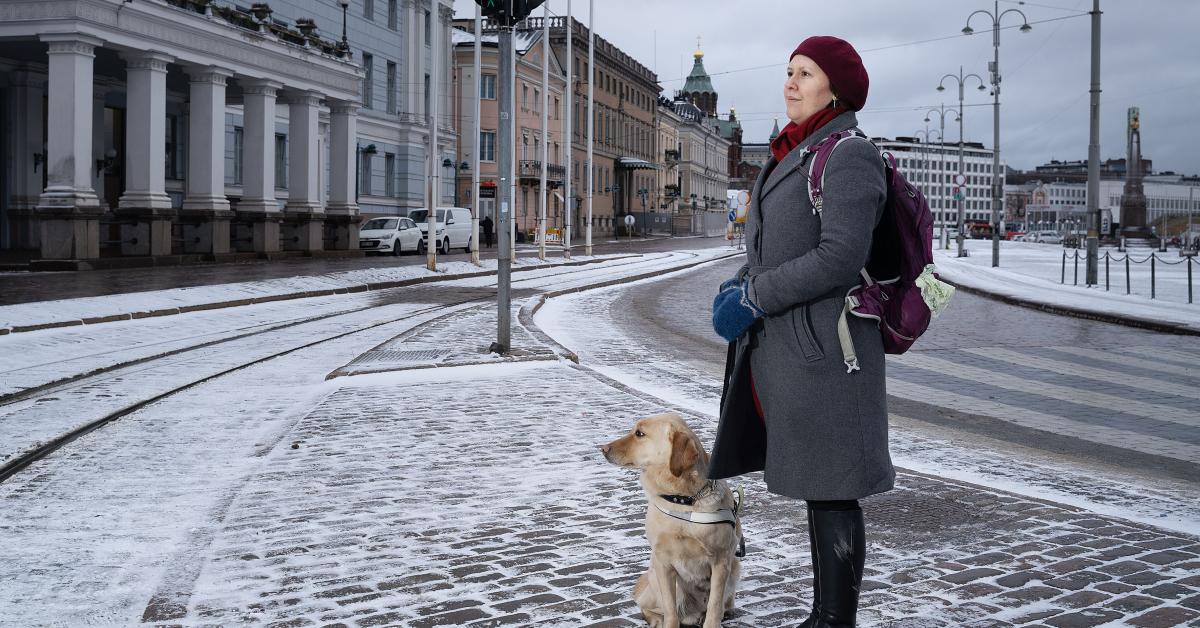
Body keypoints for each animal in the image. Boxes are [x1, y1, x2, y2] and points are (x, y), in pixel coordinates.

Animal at [600, 413, 739, 628]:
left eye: (640, 433)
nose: (603, 448)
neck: (683, 500)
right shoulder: (662, 562)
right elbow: (670, 608)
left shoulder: (721, 560)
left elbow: (715, 605)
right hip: (658, 581)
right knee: (649, 607)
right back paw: (658, 619)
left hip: (735, 569)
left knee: (723, 603)